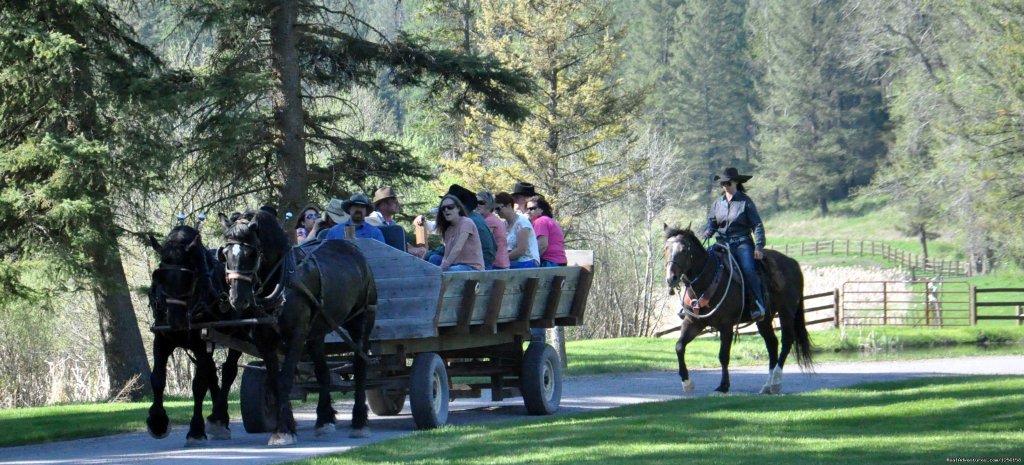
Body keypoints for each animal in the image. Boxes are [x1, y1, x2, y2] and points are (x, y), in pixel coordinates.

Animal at [146, 225, 241, 446]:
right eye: (158, 277)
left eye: (189, 278)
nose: (176, 322)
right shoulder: (162, 339)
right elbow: (158, 378)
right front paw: (157, 421)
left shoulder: (201, 345)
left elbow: (198, 386)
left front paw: (196, 430)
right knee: (213, 373)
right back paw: (219, 418)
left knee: (229, 371)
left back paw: (218, 417)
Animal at [220, 210, 376, 446]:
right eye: (225, 253)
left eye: (251, 253)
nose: (238, 298)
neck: (282, 281)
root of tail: (354, 250)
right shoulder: (265, 341)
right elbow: (275, 382)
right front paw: (285, 426)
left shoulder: (297, 335)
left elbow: (285, 381)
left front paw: (283, 431)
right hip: (318, 332)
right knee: (322, 372)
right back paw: (323, 420)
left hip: (362, 320)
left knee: (359, 366)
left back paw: (359, 422)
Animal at [663, 227, 815, 393]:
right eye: (666, 249)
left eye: (684, 250)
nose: (671, 278)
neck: (709, 279)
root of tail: (793, 263)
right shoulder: (693, 322)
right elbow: (679, 346)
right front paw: (687, 382)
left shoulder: (726, 325)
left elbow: (723, 356)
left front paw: (723, 385)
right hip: (765, 319)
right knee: (772, 344)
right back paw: (767, 386)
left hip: (786, 312)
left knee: (786, 341)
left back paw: (776, 382)